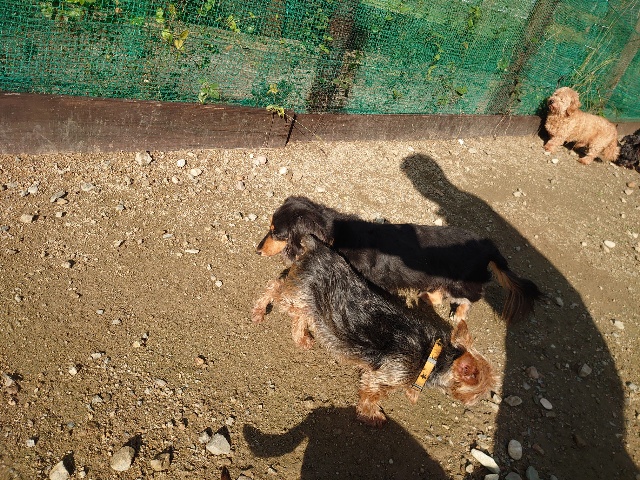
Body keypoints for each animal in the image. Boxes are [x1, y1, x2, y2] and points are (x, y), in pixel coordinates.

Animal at [252, 234, 497, 427]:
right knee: (274, 287)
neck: (432, 356)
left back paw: (301, 338)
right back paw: (259, 311)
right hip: (295, 294)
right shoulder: (381, 377)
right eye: (479, 391)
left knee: (300, 315)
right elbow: (372, 396)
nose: (481, 401)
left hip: (311, 302)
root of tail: (317, 247)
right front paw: (371, 416)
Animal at [256, 196, 541, 323]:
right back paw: (427, 297)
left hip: (462, 284)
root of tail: (488, 245)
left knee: (470, 298)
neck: (334, 233)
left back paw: (458, 313)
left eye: (275, 232)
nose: (257, 250)